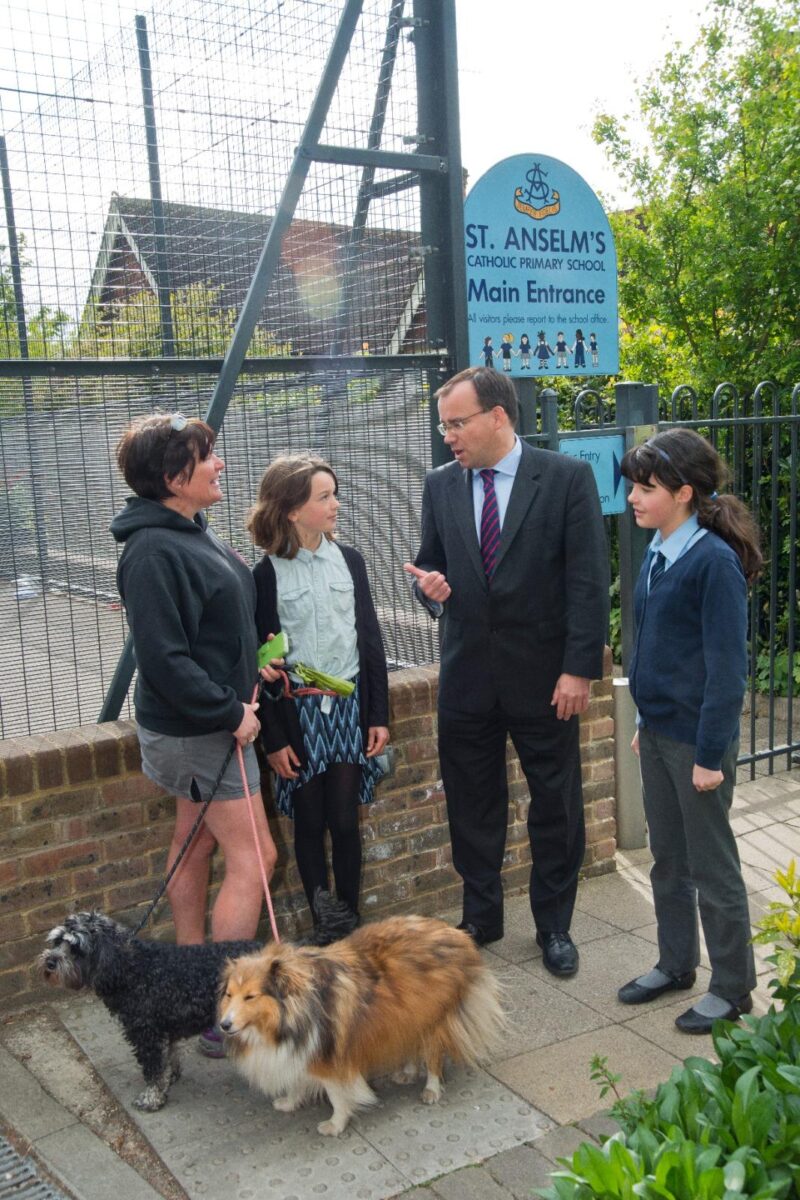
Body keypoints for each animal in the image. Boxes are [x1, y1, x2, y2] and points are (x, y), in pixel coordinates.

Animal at [38, 907, 257, 1113]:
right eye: (57, 941)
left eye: (76, 949)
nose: (49, 962)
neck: (131, 968)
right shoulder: (164, 1029)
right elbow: (167, 1058)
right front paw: (170, 1077)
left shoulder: (146, 1032)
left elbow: (153, 1069)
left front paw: (151, 1099)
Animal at [219, 912, 506, 1137]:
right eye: (229, 995)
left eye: (251, 996)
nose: (224, 1025)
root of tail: (457, 934)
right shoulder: (299, 1051)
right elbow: (296, 1081)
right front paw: (289, 1103)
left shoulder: (328, 1056)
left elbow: (336, 1093)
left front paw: (335, 1124)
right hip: (407, 1016)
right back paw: (408, 1072)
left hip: (433, 1019)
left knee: (433, 1056)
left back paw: (431, 1090)